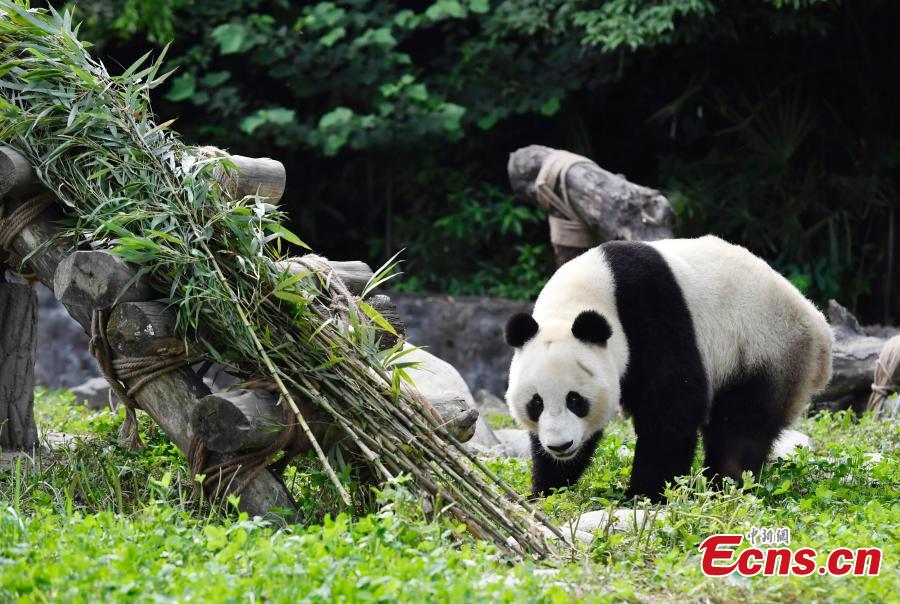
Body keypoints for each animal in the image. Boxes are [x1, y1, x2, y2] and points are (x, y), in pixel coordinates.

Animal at [502, 236, 832, 500]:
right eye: (536, 403)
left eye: (575, 399)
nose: (561, 445)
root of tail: (820, 331)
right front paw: (543, 490)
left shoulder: (652, 310)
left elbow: (672, 405)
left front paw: (644, 494)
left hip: (764, 350)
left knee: (742, 425)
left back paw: (725, 484)